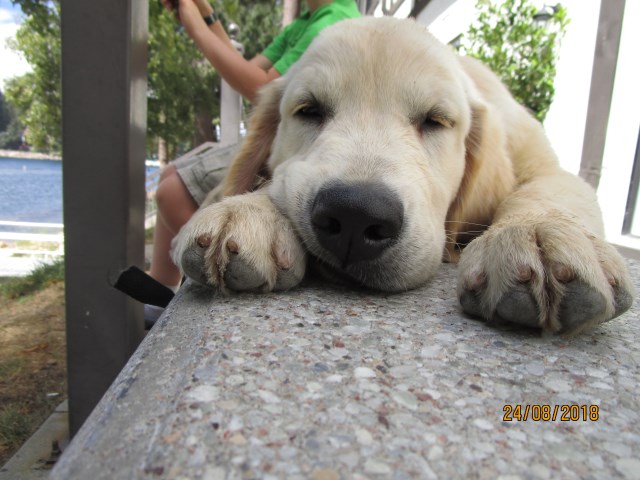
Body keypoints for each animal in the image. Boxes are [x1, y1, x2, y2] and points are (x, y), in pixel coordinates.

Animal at [171, 17, 636, 334]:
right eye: (309, 110)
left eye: (436, 120)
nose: (355, 216)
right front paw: (250, 211)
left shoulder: (544, 163)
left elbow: (550, 190)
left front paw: (538, 235)